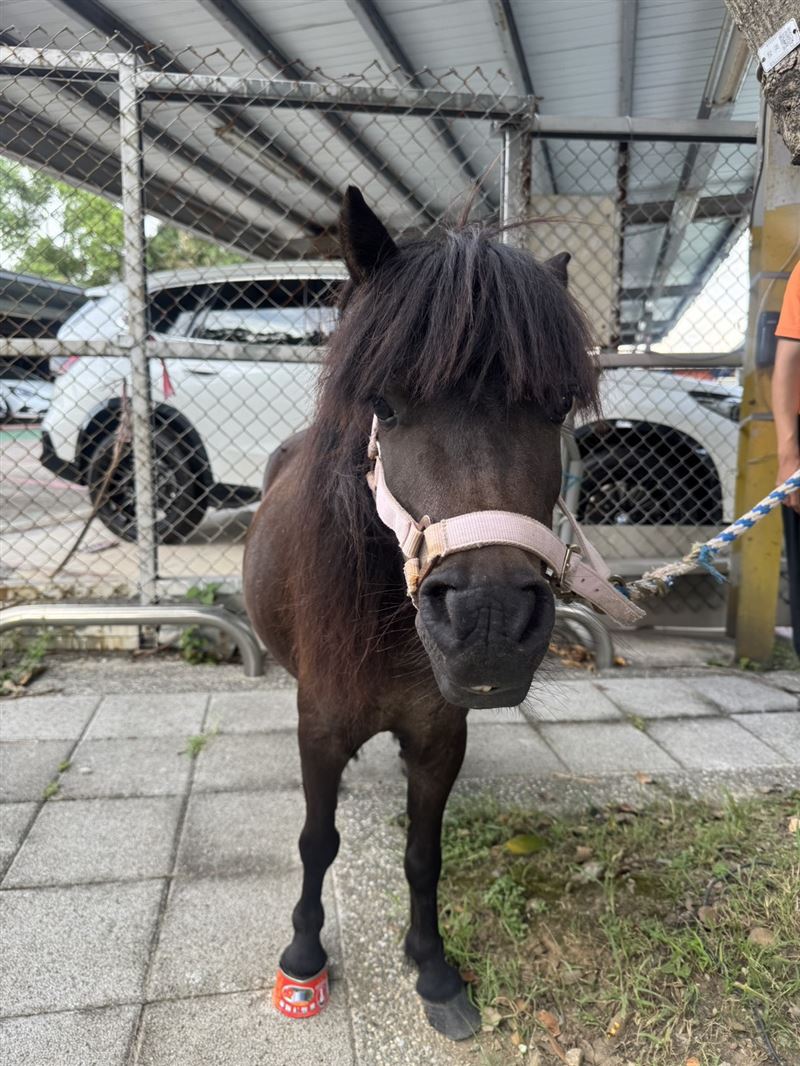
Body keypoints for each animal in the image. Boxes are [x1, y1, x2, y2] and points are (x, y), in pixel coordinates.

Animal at [243, 186, 603, 1040]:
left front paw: (432, 967)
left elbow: (422, 853)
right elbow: (318, 841)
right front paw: (304, 957)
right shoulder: (320, 725)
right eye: (384, 403)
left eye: (554, 406)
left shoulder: (441, 734)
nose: (488, 624)